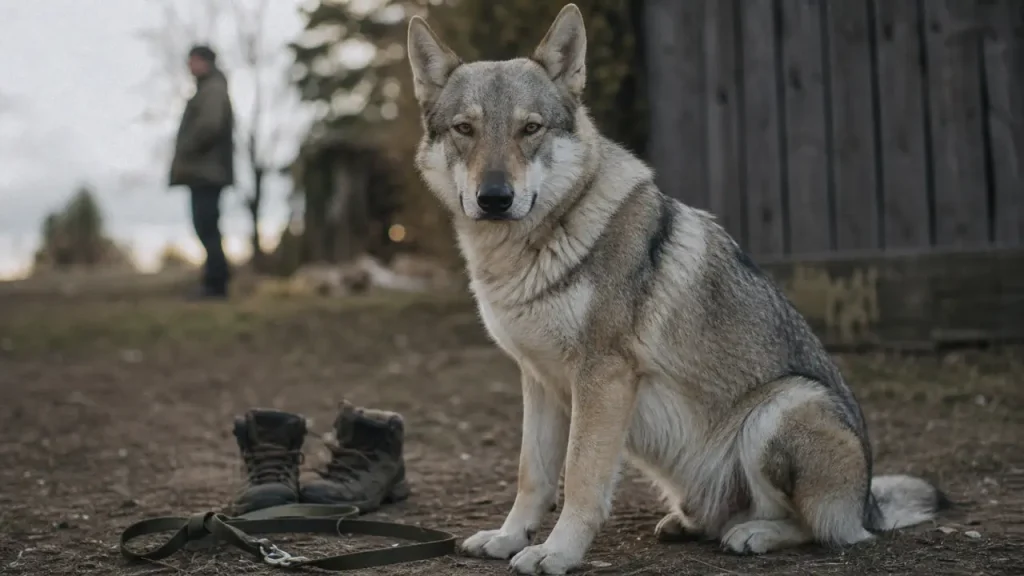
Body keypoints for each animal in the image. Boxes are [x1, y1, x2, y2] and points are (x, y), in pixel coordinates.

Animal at [407, 5, 946, 575]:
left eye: (529, 128)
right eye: (465, 129)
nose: (494, 197)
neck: (529, 249)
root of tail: (868, 504)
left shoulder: (603, 377)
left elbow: (581, 479)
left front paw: (557, 552)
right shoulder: (538, 381)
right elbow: (532, 475)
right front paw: (509, 537)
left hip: (781, 408)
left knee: (819, 528)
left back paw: (754, 534)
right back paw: (692, 525)